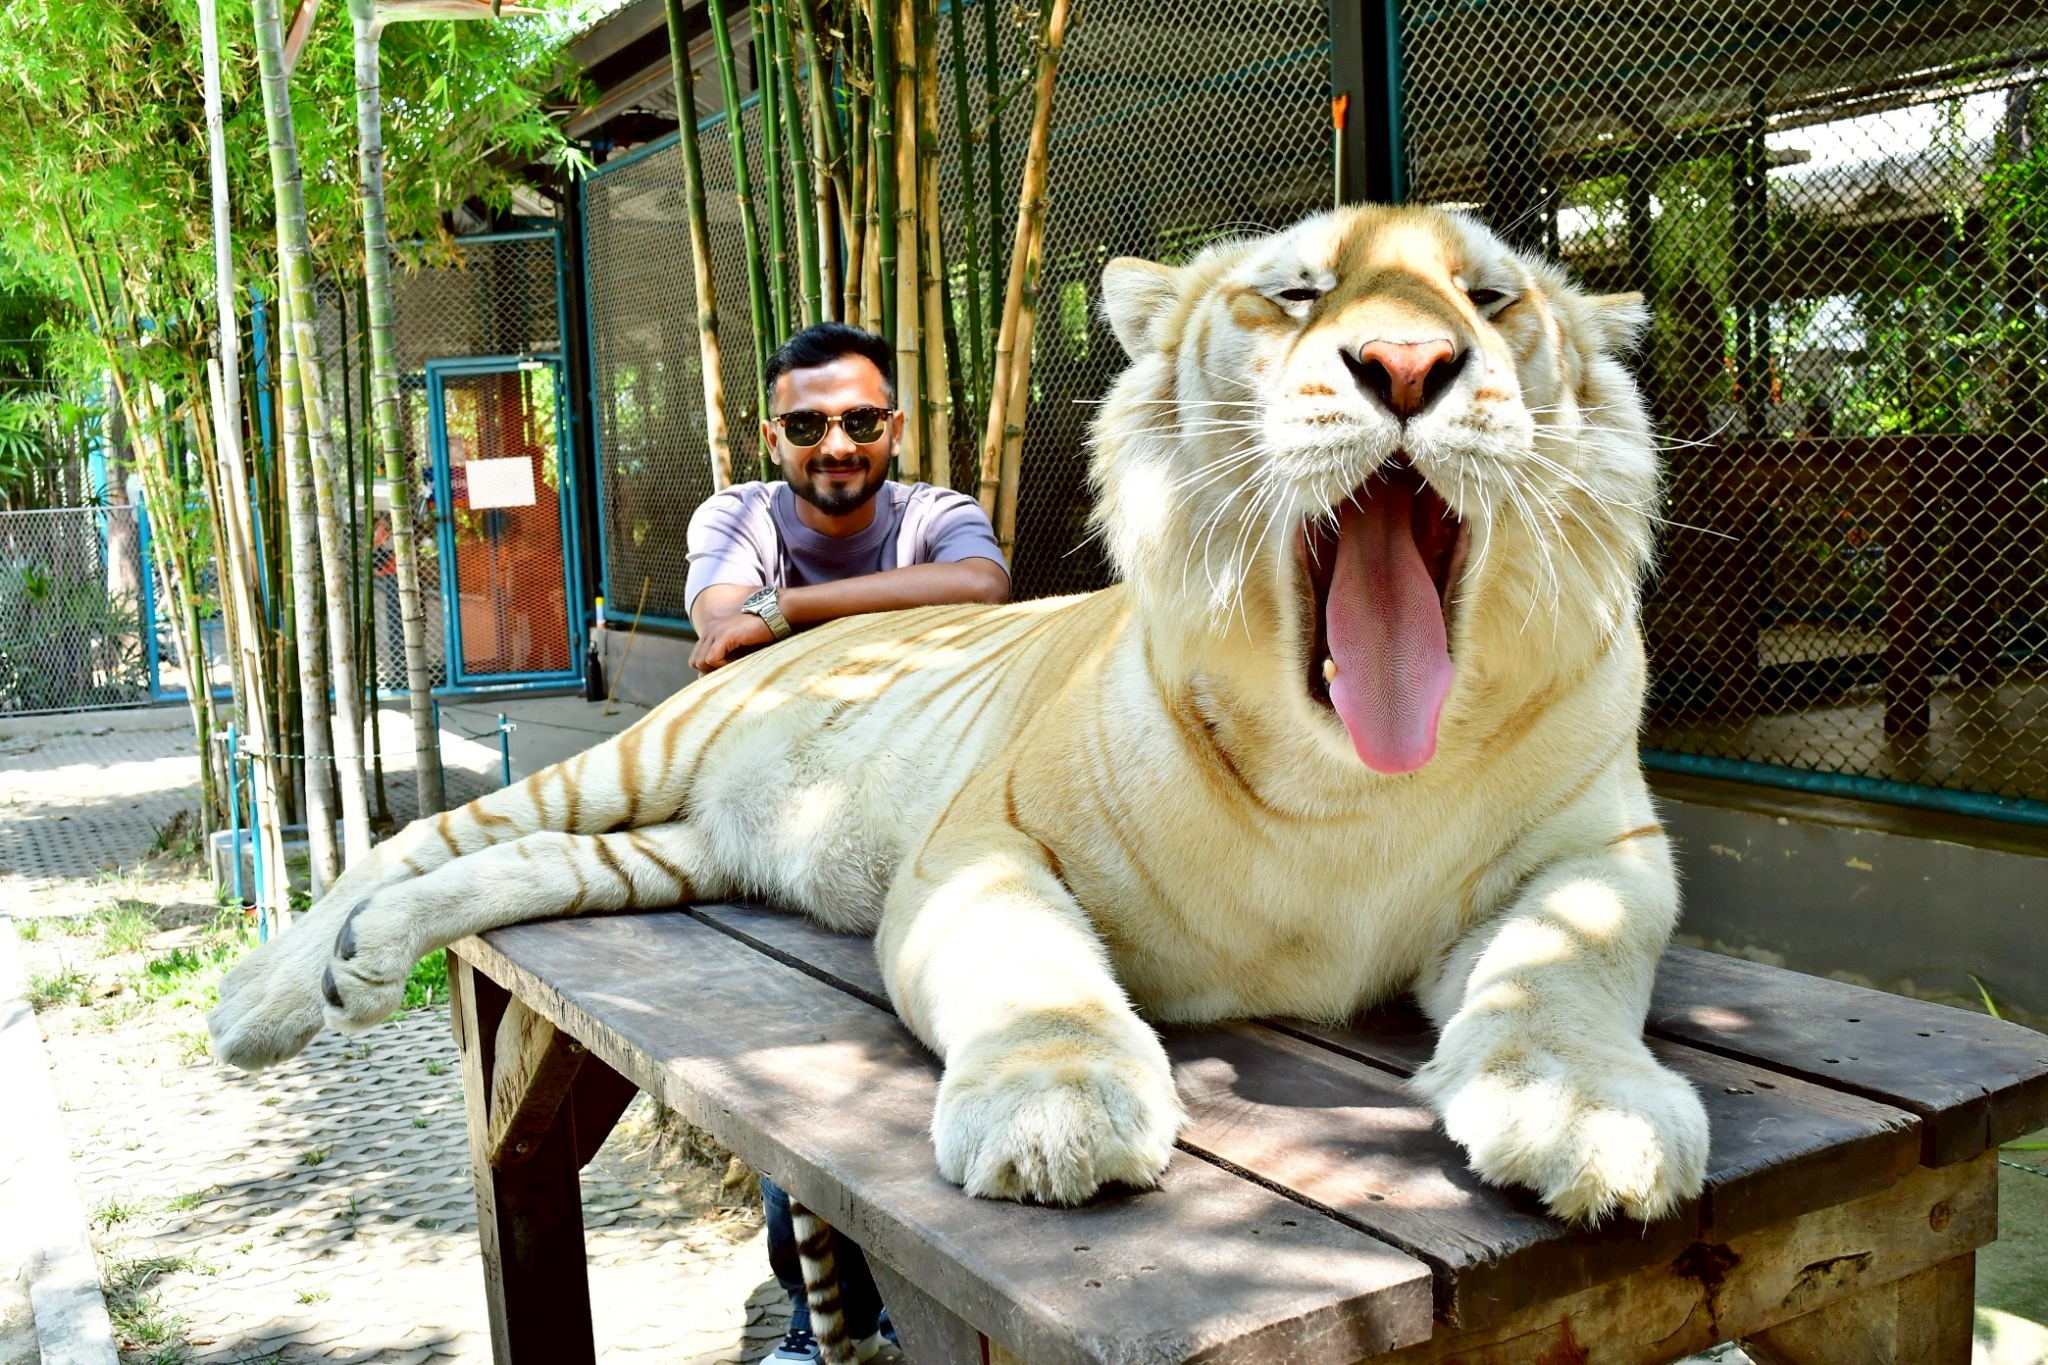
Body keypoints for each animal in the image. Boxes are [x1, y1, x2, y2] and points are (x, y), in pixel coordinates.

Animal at [208, 202, 1709, 1226]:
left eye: (1492, 298)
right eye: (1297, 291)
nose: (1404, 360)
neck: (1350, 777)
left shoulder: (1602, 856)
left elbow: (1567, 970)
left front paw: (1594, 1115)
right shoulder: (982, 844)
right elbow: (1031, 968)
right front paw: (1056, 1113)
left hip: (669, 847)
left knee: (517, 865)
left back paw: (368, 958)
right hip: (635, 761)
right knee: (425, 837)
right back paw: (271, 995)